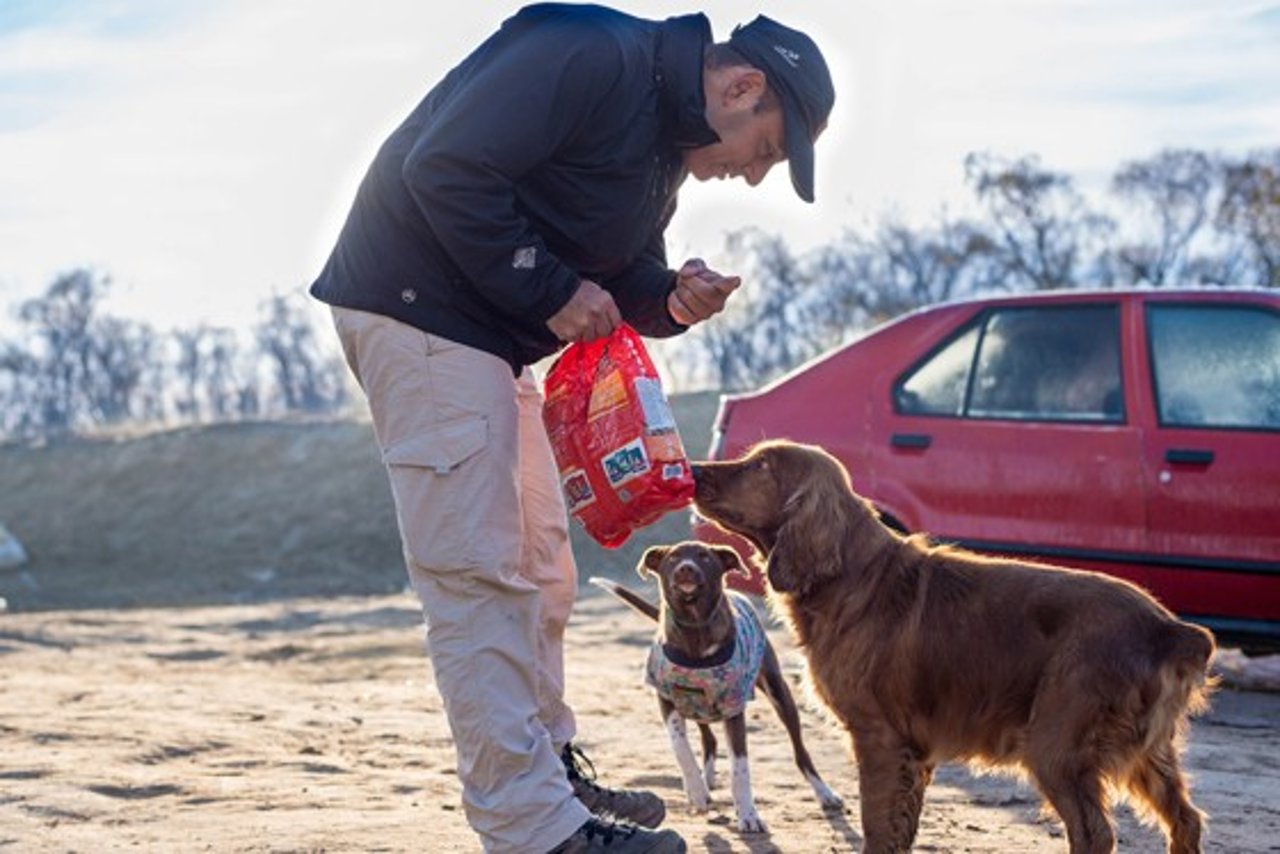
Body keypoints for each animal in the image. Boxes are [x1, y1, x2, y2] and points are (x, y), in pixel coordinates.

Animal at [696, 440, 1213, 854]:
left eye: (761, 465)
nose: (695, 470)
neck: (851, 577)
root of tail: (1167, 628)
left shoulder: (879, 738)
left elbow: (875, 830)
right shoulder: (912, 755)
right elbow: (899, 832)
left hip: (1057, 747)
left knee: (1095, 834)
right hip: (1149, 754)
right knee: (1186, 821)